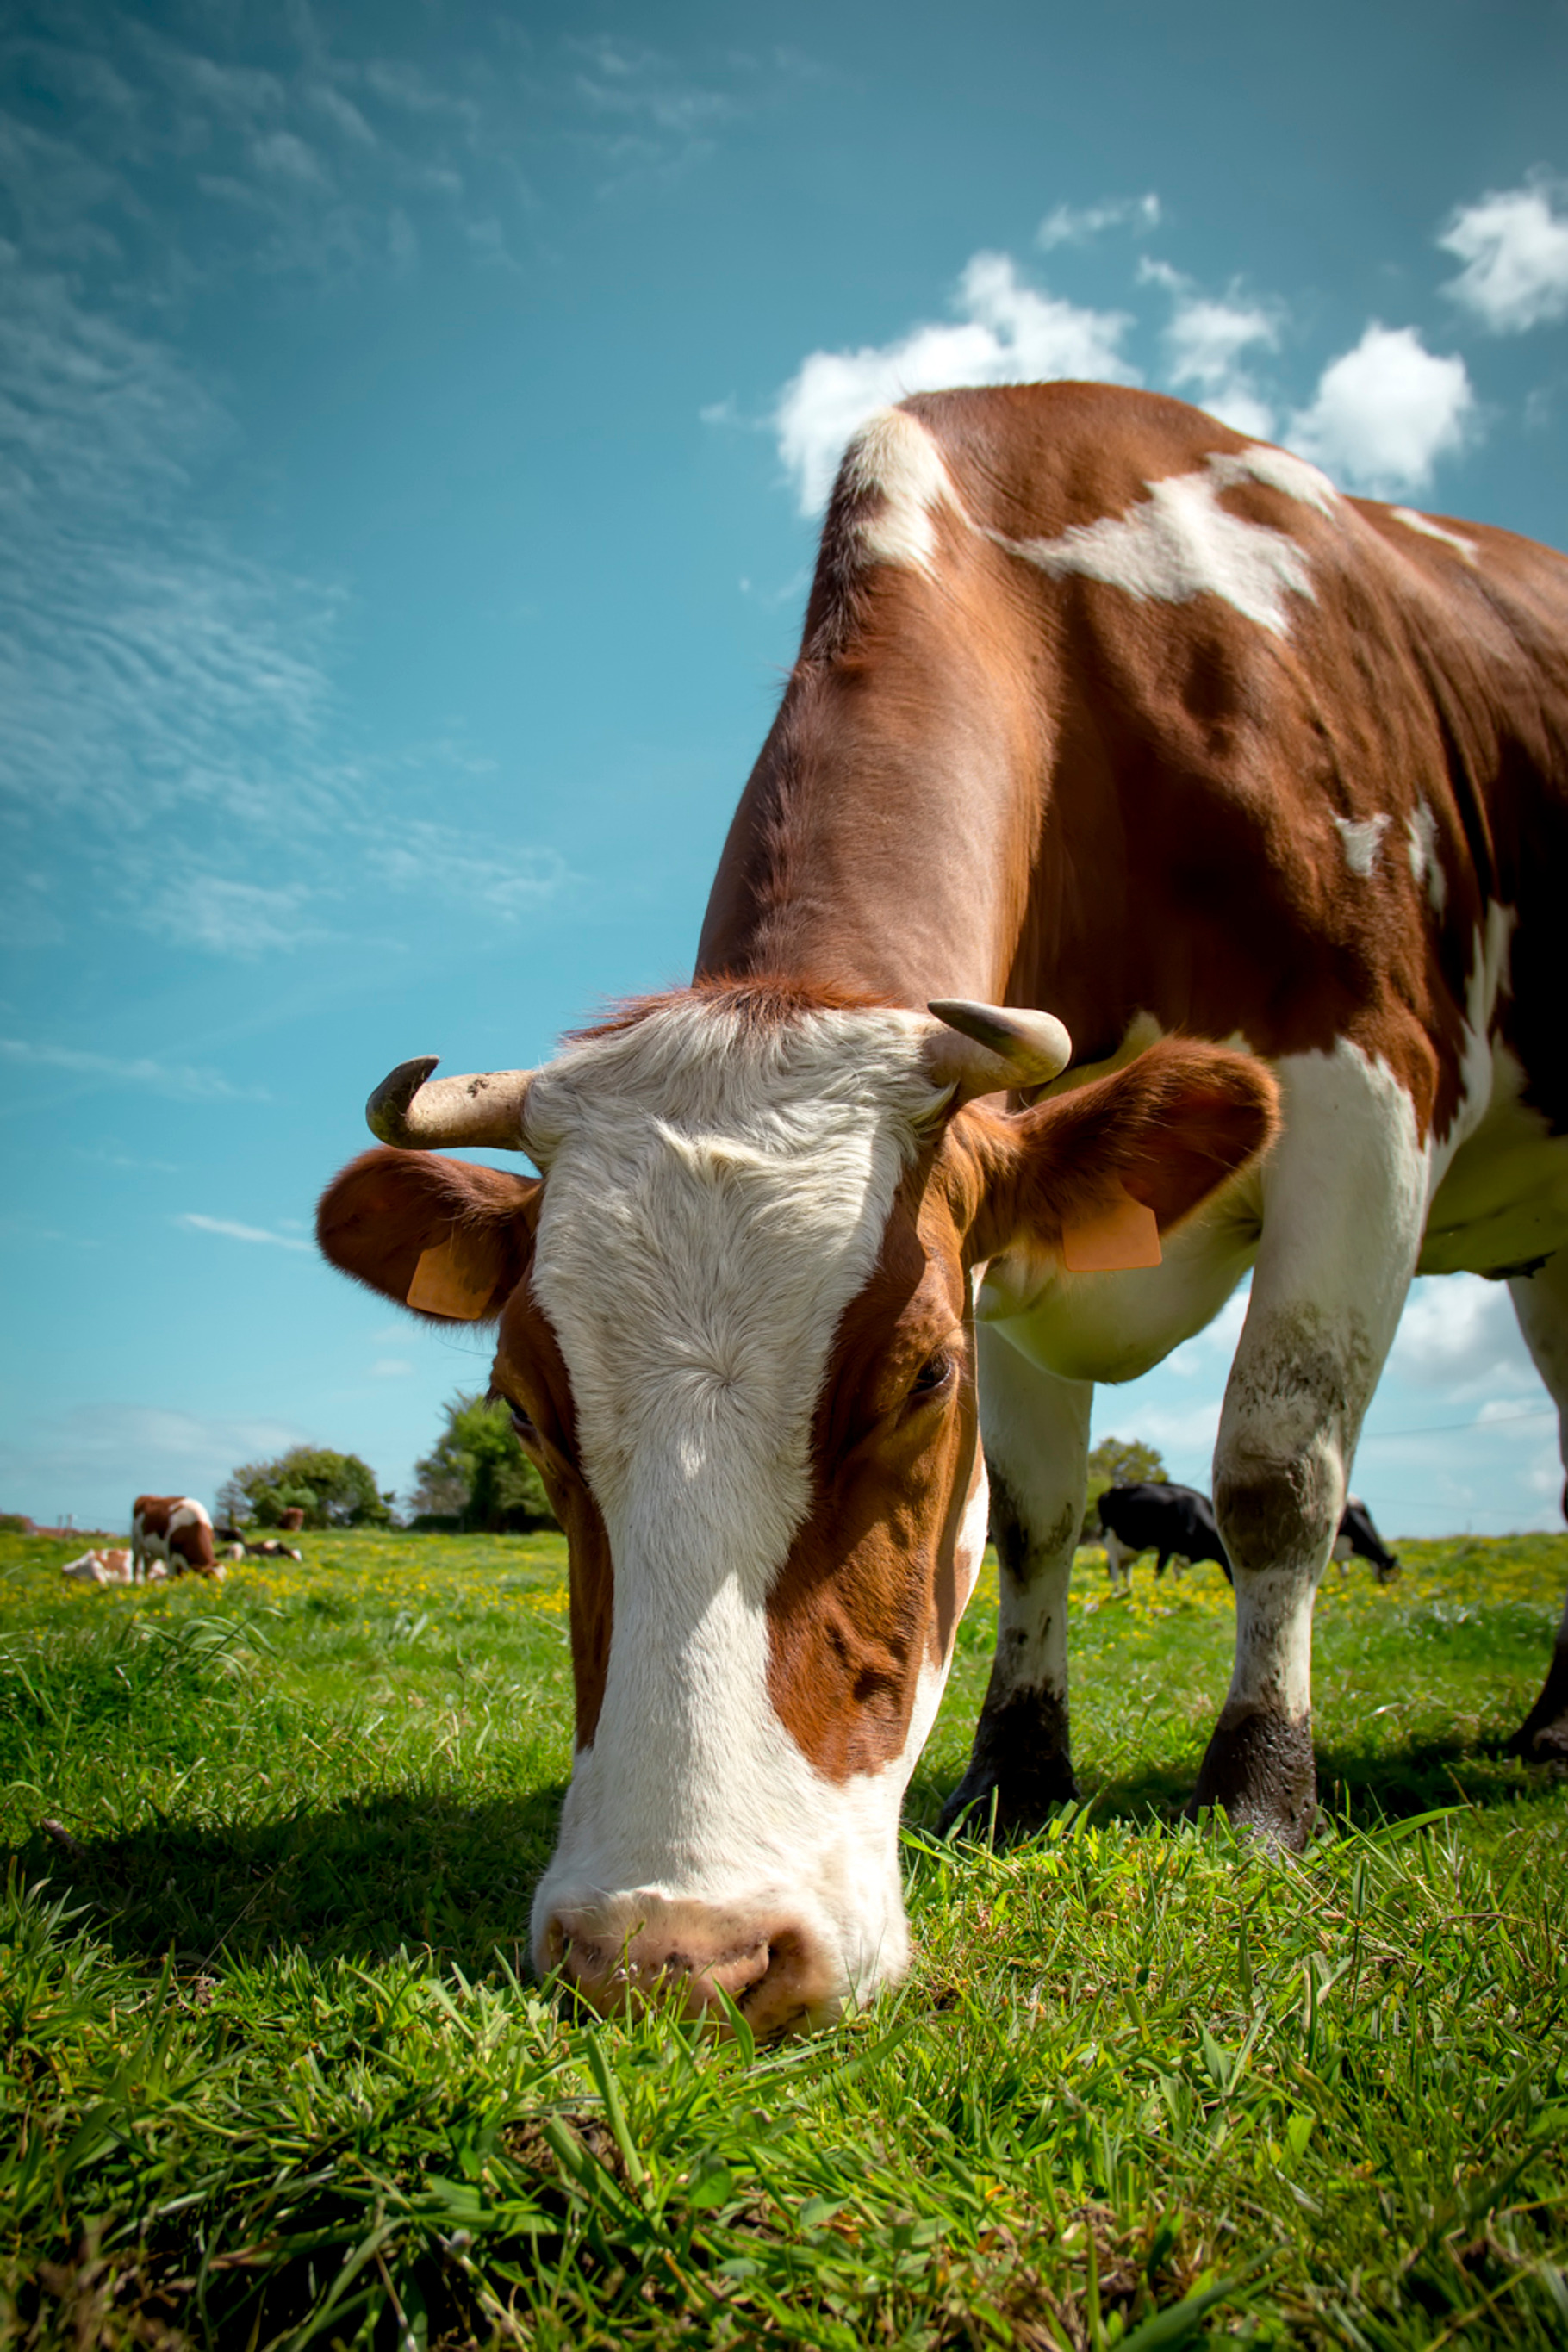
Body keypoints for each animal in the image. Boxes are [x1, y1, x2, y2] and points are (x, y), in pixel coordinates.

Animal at [1097, 1481, 1230, 1586]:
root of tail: (1108, 1492)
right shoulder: (1167, 1547)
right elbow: (1158, 1573)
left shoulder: (1181, 1553)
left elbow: (1178, 1575)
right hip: (1110, 1541)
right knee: (1114, 1573)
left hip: (1128, 1550)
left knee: (1126, 1573)